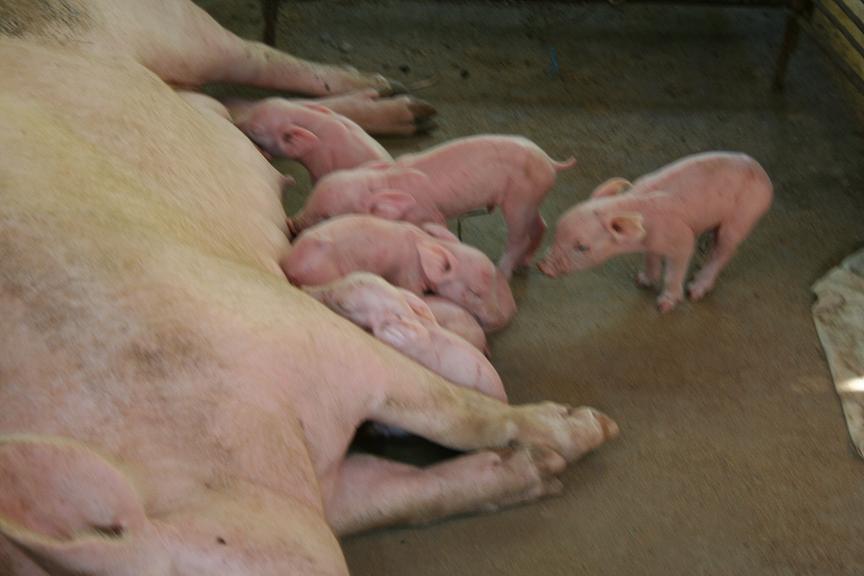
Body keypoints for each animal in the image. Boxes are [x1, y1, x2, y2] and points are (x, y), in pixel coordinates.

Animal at [282, 215, 518, 331]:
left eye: (493, 285)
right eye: (475, 292)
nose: (502, 318)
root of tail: (288, 264)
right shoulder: (408, 273)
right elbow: (413, 292)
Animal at [288, 135, 576, 277]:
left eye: (326, 215)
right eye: (310, 200)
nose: (292, 224)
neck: (384, 184)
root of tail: (550, 162)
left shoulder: (429, 211)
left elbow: (437, 225)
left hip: (519, 198)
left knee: (518, 235)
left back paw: (503, 271)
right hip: (531, 197)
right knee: (540, 224)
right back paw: (525, 263)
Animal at [539, 152, 773, 312]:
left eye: (582, 247)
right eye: (557, 233)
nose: (542, 266)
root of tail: (763, 173)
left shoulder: (682, 237)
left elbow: (674, 270)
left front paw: (664, 306)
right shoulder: (651, 243)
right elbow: (651, 258)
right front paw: (641, 281)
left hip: (744, 215)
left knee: (725, 248)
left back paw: (696, 290)